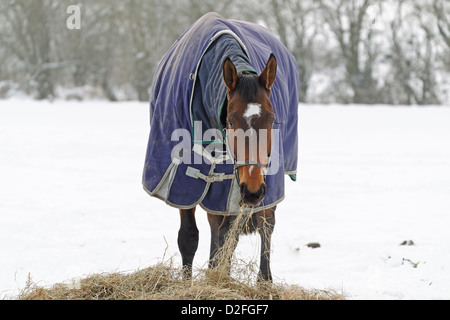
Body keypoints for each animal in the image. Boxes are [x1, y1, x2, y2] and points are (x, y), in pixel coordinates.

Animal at [143, 11, 298, 282]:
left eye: (271, 119)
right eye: (231, 121)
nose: (253, 190)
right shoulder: (185, 183)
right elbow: (190, 238)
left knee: (265, 226)